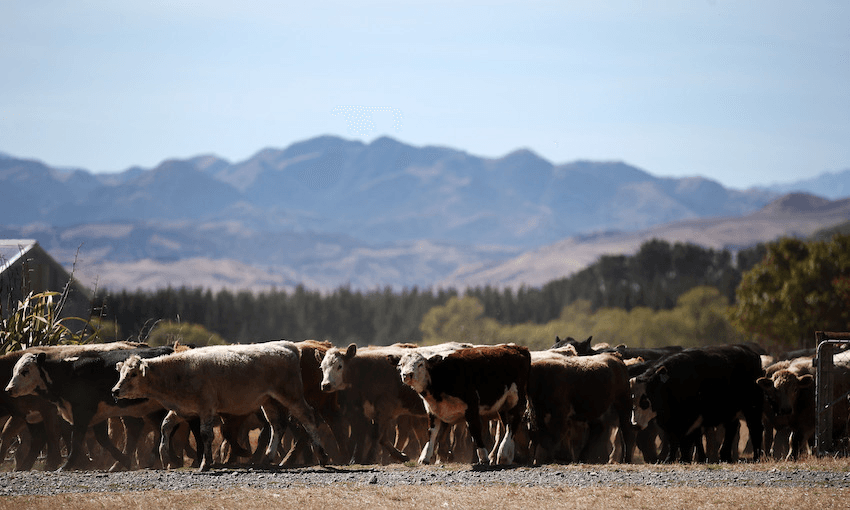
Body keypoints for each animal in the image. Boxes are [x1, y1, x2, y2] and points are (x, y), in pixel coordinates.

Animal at [5, 345, 174, 470]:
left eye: (25, 371)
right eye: (14, 370)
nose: (9, 389)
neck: (69, 373)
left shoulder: (82, 412)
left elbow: (76, 440)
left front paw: (65, 466)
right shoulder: (96, 414)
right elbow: (102, 438)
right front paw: (125, 460)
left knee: (158, 428)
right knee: (145, 428)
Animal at [112, 340, 327, 471]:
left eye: (132, 374)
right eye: (121, 373)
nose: (115, 390)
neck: (179, 372)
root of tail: (288, 346)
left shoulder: (206, 407)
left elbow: (206, 434)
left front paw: (206, 463)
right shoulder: (183, 409)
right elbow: (165, 426)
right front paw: (165, 457)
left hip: (291, 395)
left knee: (308, 417)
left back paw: (322, 455)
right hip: (269, 401)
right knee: (278, 426)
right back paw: (267, 458)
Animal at [396, 344, 531, 466]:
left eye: (420, 364)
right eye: (402, 364)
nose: (407, 375)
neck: (440, 376)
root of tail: (518, 348)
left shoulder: (472, 406)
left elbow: (475, 430)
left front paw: (483, 458)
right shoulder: (432, 410)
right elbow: (431, 432)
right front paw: (424, 457)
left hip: (515, 399)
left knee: (513, 423)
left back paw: (503, 455)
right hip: (503, 405)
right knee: (507, 424)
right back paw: (507, 455)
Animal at [630, 344, 764, 463]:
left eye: (645, 401)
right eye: (632, 400)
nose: (635, 425)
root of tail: (751, 353)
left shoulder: (690, 417)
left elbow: (687, 438)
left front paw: (684, 459)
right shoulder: (669, 420)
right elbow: (673, 439)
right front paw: (671, 459)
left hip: (752, 406)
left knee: (755, 428)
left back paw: (756, 457)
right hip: (730, 410)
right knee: (732, 428)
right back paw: (725, 456)